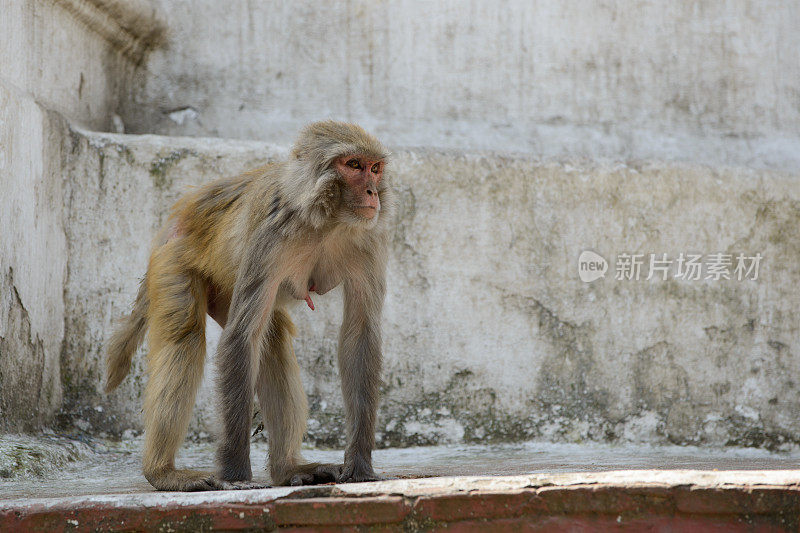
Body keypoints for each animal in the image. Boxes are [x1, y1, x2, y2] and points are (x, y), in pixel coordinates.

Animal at [106, 120, 394, 490]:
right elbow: (240, 337)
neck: (325, 222)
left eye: (375, 168)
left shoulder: (370, 238)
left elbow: (360, 335)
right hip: (174, 260)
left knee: (272, 340)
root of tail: (181, 212)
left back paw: (287, 468)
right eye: (354, 165)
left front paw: (359, 464)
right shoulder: (271, 235)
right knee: (185, 337)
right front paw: (234, 475)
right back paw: (163, 472)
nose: (373, 193)